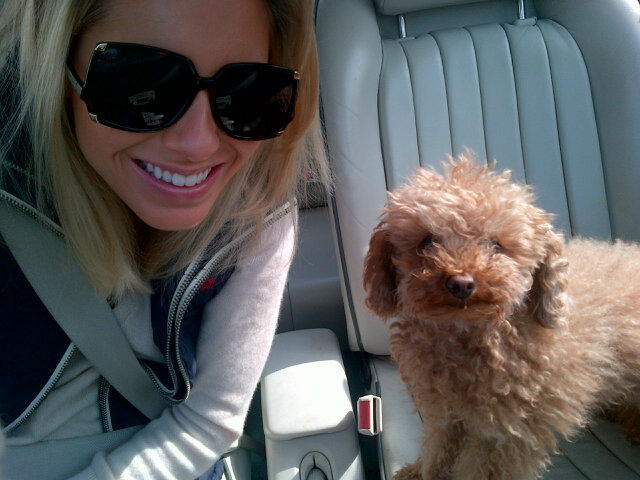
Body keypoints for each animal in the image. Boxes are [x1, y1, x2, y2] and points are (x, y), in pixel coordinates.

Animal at [363, 155, 640, 480]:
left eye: (496, 246)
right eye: (427, 242)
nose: (461, 283)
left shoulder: (510, 433)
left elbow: (484, 468)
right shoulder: (444, 411)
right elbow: (437, 447)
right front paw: (420, 473)